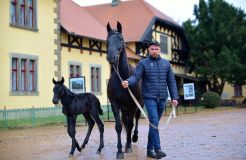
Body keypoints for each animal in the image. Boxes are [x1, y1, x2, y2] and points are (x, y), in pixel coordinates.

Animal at [106, 21, 144, 159]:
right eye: (107, 40)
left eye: (121, 39)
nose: (111, 57)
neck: (122, 78)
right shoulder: (115, 104)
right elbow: (119, 126)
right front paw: (119, 150)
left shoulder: (133, 105)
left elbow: (131, 124)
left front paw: (127, 146)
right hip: (124, 108)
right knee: (126, 123)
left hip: (139, 105)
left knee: (135, 120)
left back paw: (133, 138)